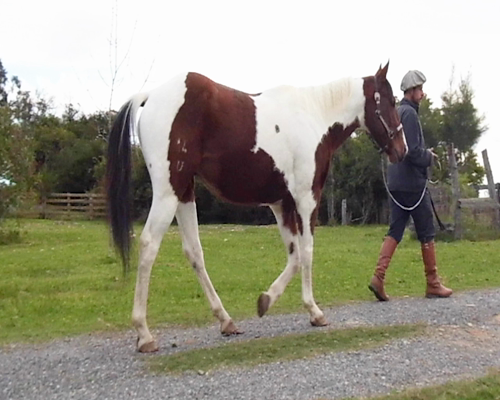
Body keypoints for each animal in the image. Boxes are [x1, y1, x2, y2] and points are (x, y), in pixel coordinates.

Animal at [106, 62, 407, 352]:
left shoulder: (281, 204)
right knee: (148, 245)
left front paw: (266, 301)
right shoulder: (306, 198)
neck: (314, 115)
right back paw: (144, 334)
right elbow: (307, 252)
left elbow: (294, 257)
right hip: (168, 193)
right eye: (390, 101)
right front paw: (315, 311)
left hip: (184, 194)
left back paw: (226, 321)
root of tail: (150, 96)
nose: (401, 150)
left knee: (194, 252)